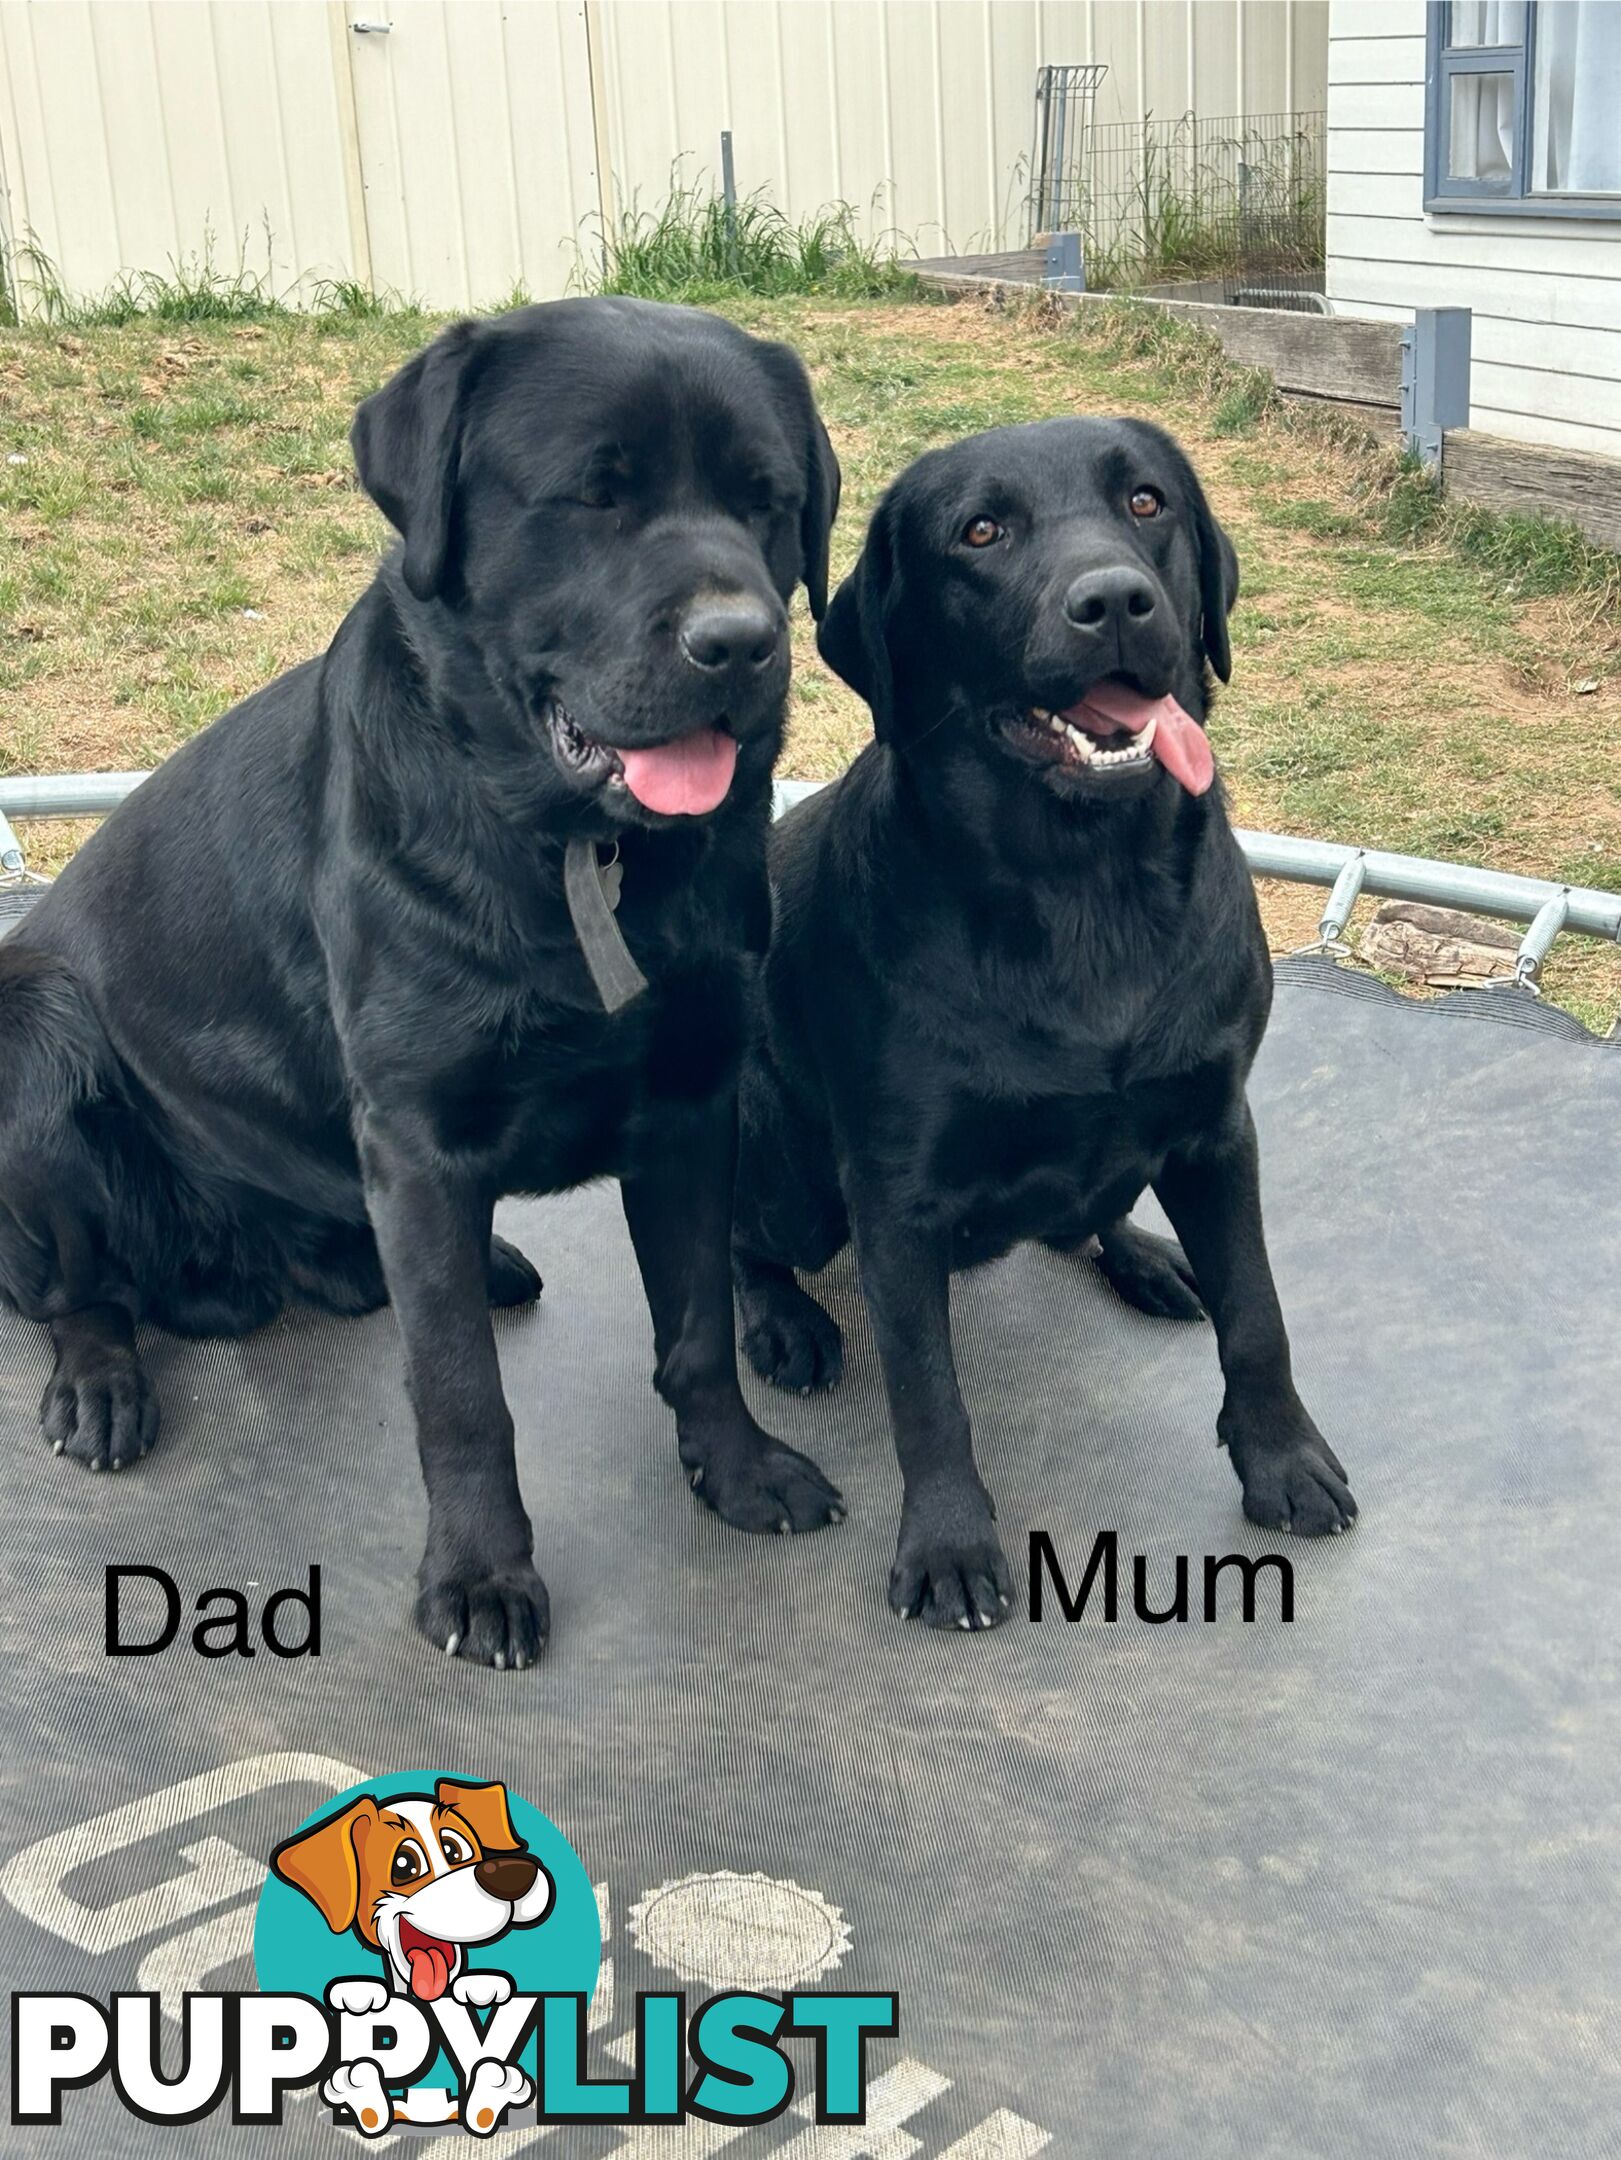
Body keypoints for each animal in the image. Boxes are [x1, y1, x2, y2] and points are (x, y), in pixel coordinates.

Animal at [3, 295, 851, 1658]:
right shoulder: (416, 1137)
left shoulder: (689, 1100)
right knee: (66, 1285)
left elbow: (697, 1332)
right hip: (34, 1032)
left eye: (765, 499)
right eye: (595, 494)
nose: (741, 643)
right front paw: (479, 1575)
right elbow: (460, 1396)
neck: (579, 852)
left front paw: (736, 1470)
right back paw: (100, 1382)